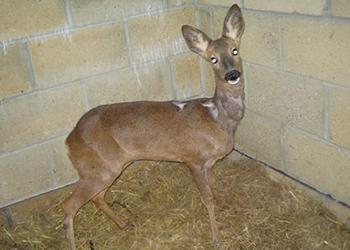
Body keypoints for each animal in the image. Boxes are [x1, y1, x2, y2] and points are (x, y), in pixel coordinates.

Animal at [62, 3, 243, 248]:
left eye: (235, 50)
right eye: (212, 59)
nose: (232, 74)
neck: (218, 118)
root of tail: (69, 141)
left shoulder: (211, 163)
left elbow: (215, 189)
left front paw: (226, 206)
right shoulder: (193, 159)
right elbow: (207, 199)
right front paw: (216, 237)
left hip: (108, 167)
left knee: (97, 197)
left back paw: (124, 224)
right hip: (96, 168)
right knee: (69, 205)